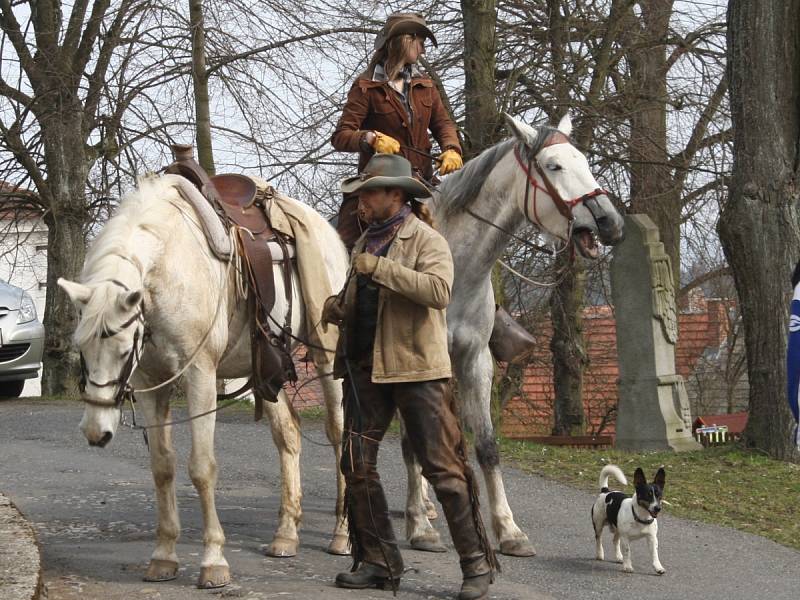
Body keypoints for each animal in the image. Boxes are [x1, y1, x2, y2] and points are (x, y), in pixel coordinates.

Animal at [57, 176, 348, 588]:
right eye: (81, 348)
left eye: (123, 349)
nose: (96, 432)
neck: (170, 267)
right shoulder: (151, 382)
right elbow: (162, 466)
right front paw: (163, 556)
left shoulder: (200, 377)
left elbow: (201, 467)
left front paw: (213, 561)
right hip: (266, 372)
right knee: (288, 437)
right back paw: (286, 535)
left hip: (328, 357)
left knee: (340, 434)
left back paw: (342, 534)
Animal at [404, 113, 628, 556]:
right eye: (554, 166)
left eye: (583, 160)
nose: (610, 222)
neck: (451, 267)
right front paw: (419, 528)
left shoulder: (474, 361)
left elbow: (487, 447)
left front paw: (508, 529)